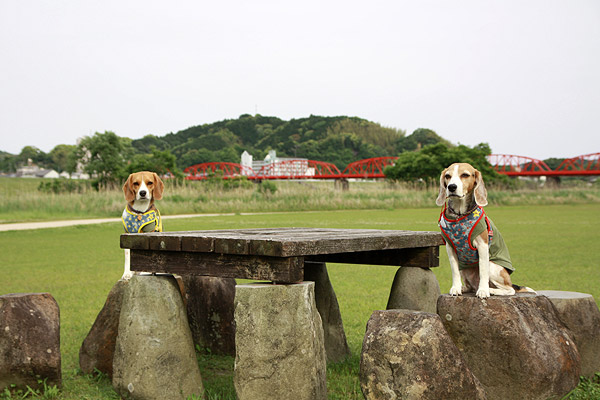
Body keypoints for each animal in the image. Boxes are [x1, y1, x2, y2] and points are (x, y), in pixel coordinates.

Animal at [436, 162, 536, 296]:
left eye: (465, 175)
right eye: (447, 176)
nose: (451, 187)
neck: (459, 215)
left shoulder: (482, 246)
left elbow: (483, 271)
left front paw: (483, 290)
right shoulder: (450, 248)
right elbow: (454, 271)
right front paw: (456, 288)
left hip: (493, 267)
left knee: (510, 290)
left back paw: (490, 290)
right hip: (465, 268)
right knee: (471, 285)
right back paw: (465, 288)